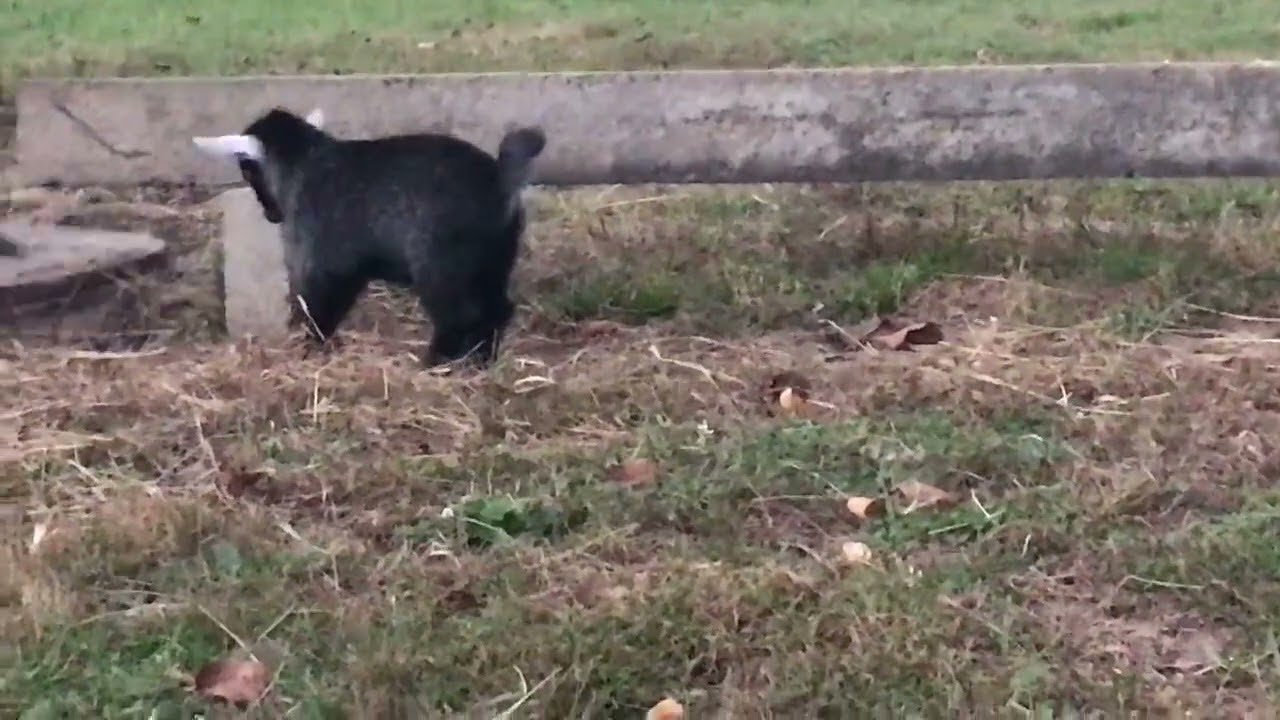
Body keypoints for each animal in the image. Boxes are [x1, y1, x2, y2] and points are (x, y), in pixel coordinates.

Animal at [192, 107, 546, 368]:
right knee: (498, 310)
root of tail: (499, 180)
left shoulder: (328, 264)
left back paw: (433, 362)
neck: (306, 161)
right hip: (494, 261)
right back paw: (483, 361)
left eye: (246, 169)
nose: (271, 215)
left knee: (461, 317)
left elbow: (319, 310)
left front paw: (311, 347)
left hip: (442, 268)